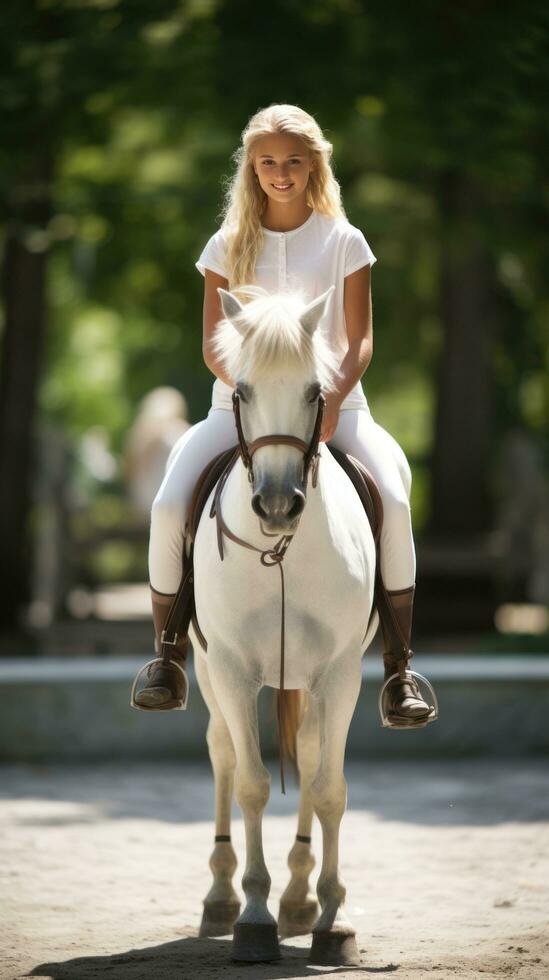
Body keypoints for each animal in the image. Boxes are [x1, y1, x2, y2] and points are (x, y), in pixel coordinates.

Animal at [188, 284, 376, 964]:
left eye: (315, 391)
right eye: (241, 390)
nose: (274, 505)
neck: (282, 550)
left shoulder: (342, 673)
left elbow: (328, 787)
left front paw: (332, 921)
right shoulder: (233, 670)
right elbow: (251, 783)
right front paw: (253, 918)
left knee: (313, 751)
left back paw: (299, 898)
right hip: (206, 670)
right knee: (220, 751)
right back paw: (222, 898)